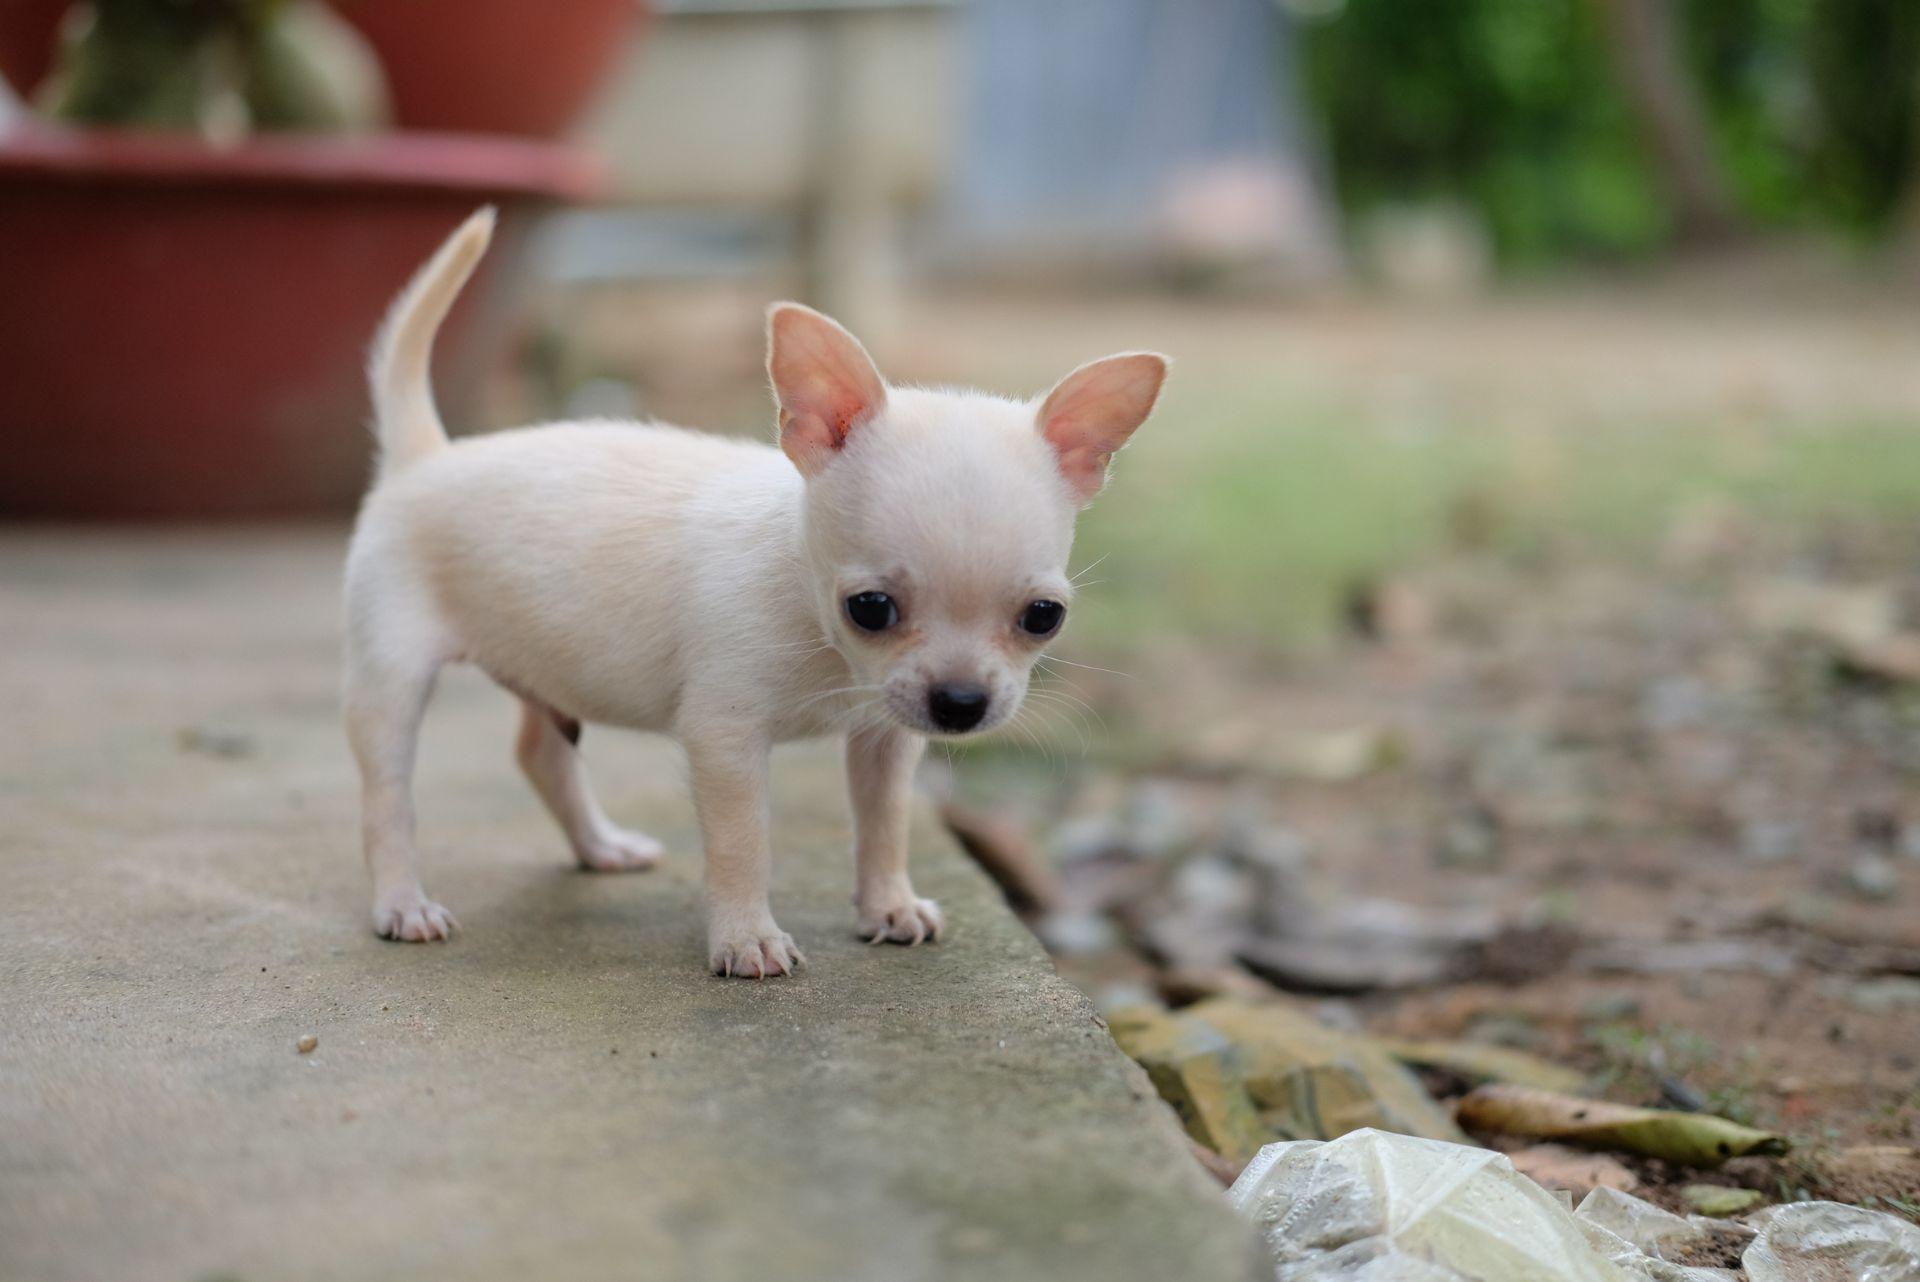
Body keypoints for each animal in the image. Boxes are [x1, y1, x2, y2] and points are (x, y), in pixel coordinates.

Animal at [337, 210, 1159, 974]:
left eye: (1043, 617)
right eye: (869, 609)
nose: (960, 704)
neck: (802, 597)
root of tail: (425, 456)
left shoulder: (885, 737)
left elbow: (884, 822)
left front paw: (889, 904)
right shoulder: (725, 739)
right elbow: (744, 844)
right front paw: (745, 938)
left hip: (545, 665)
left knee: (542, 754)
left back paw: (600, 846)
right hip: (391, 676)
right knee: (386, 798)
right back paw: (402, 903)